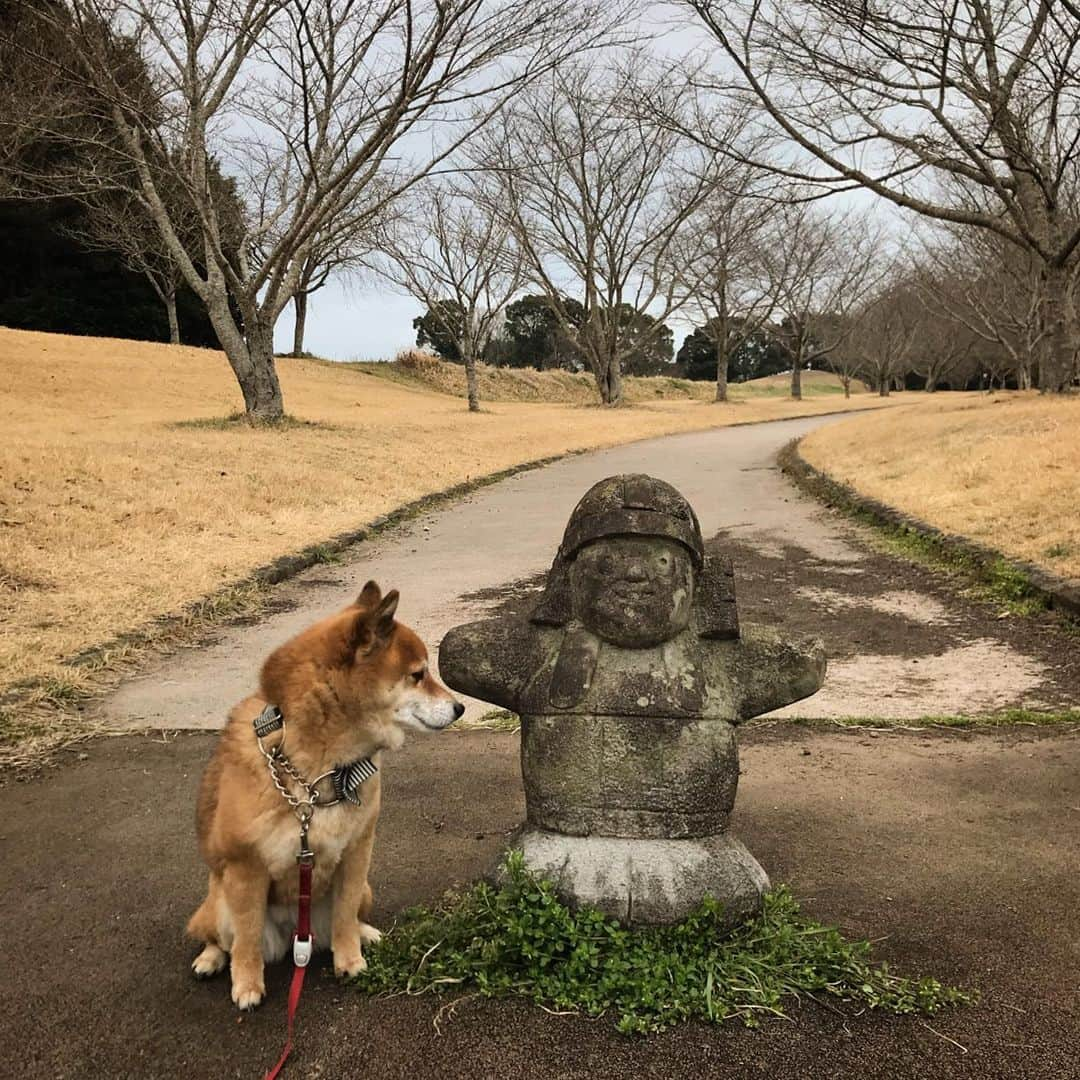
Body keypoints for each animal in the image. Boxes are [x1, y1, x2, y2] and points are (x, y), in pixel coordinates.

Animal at [186, 583, 464, 1010]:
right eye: (418, 675)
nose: (461, 707)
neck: (321, 772)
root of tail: (293, 932)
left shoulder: (356, 852)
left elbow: (344, 916)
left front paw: (349, 959)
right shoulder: (245, 868)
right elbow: (247, 942)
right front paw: (247, 985)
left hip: (363, 891)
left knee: (344, 919)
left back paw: (365, 933)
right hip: (218, 904)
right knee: (221, 938)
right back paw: (211, 959)